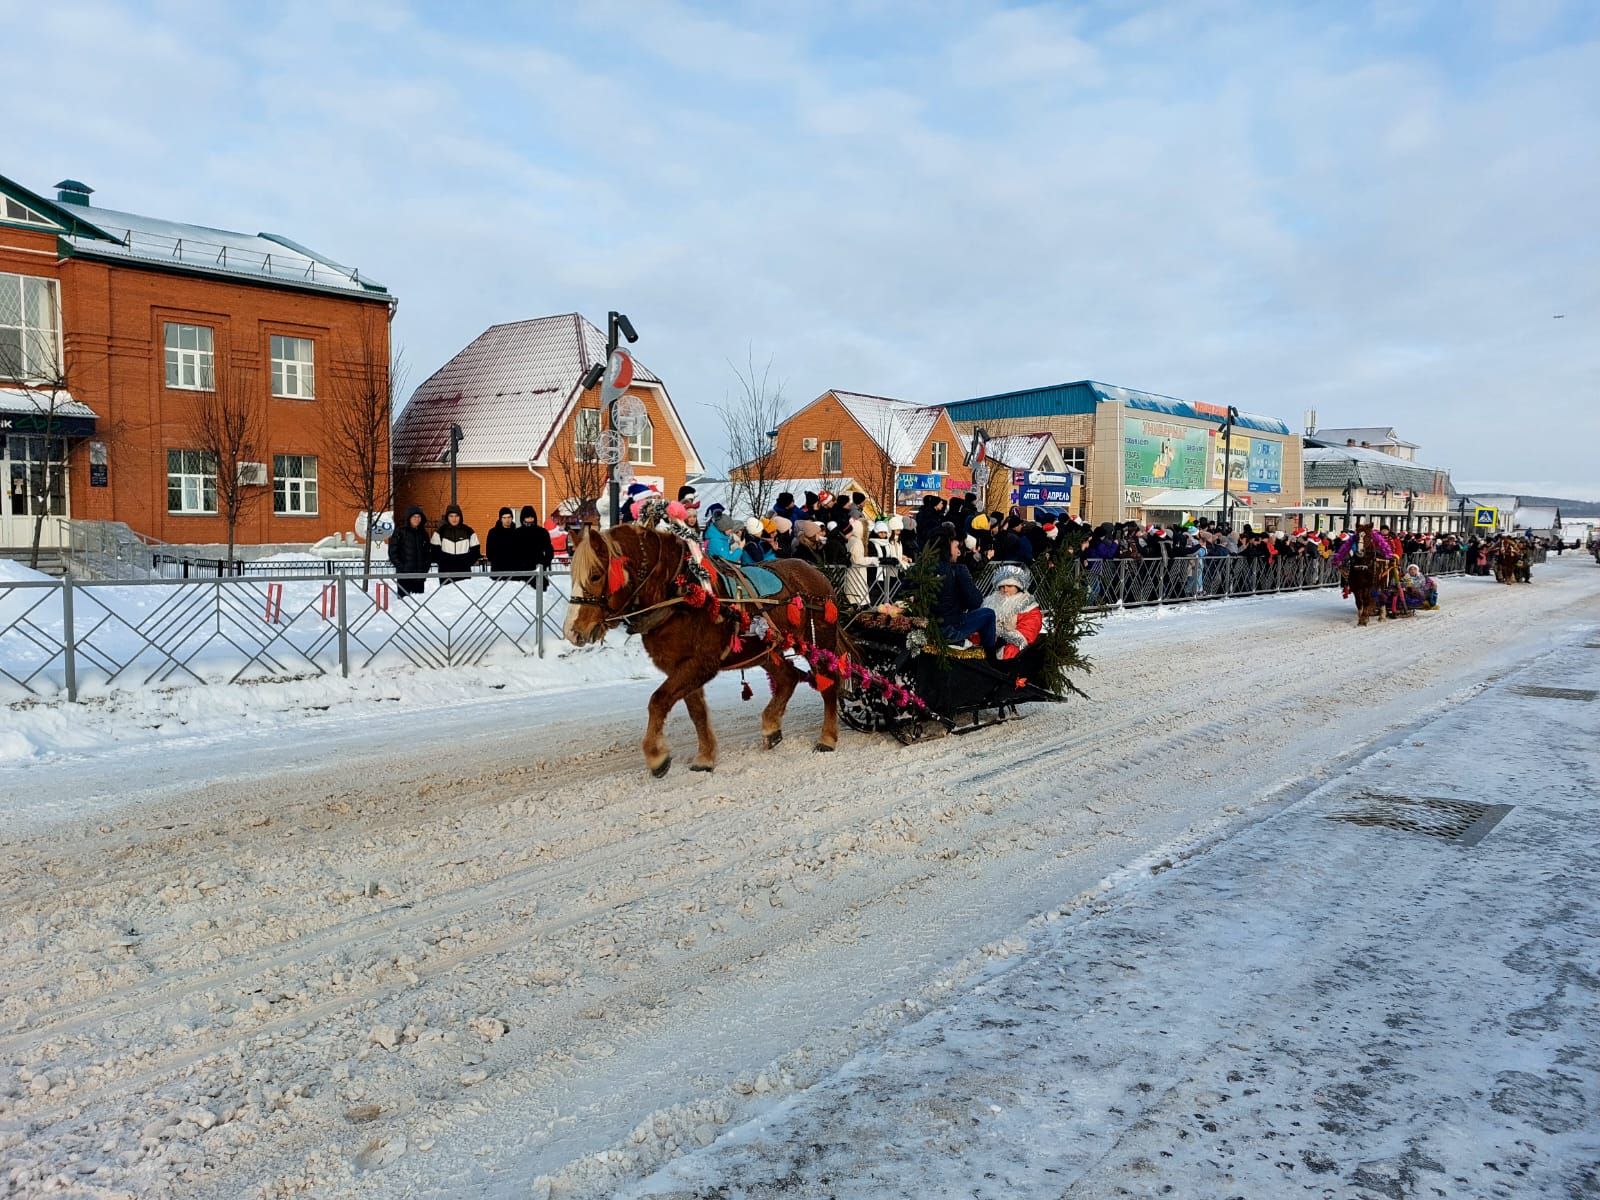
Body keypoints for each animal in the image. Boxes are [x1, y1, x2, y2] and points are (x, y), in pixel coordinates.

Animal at [563, 528, 851, 780]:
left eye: (596, 575)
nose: (572, 631)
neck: (682, 595)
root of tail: (815, 572)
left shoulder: (701, 664)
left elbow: (658, 700)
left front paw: (656, 756)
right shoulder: (681, 667)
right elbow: (697, 713)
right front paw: (705, 757)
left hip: (819, 641)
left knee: (828, 684)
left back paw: (827, 738)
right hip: (766, 650)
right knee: (788, 678)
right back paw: (771, 726)